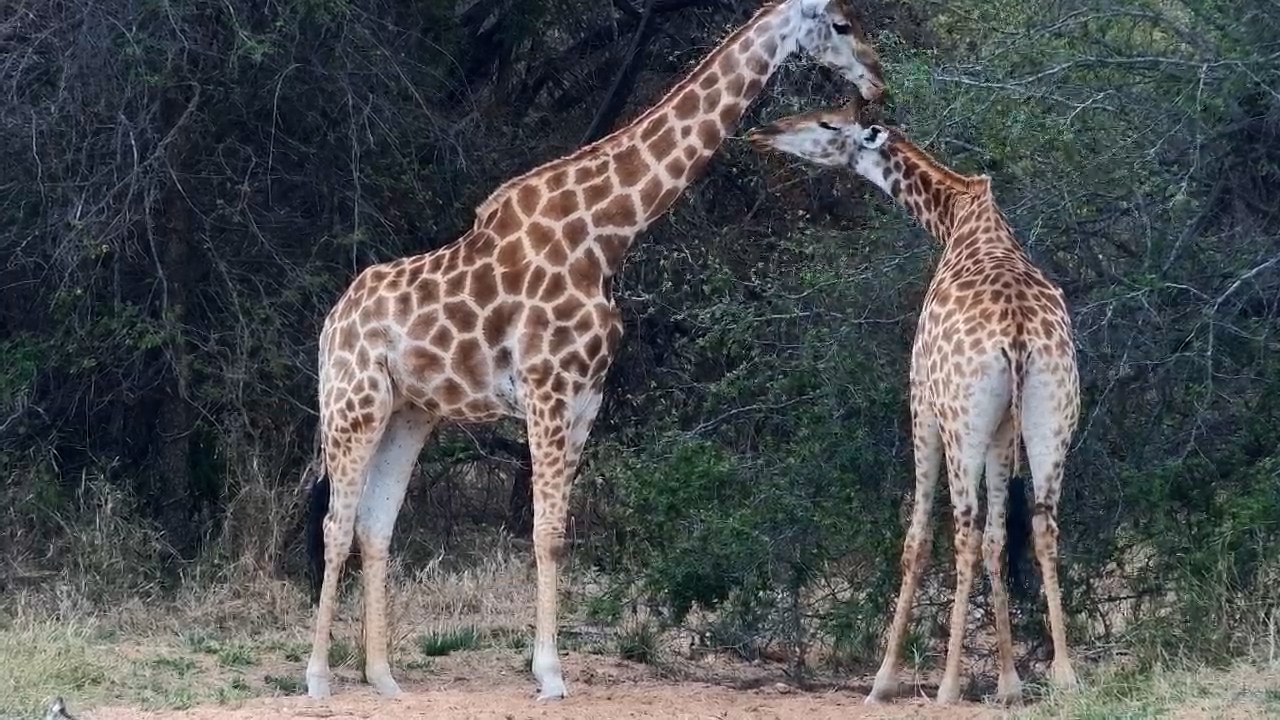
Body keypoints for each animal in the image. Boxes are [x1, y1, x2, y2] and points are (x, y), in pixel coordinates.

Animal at [304, 0, 887, 702]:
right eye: (841, 25)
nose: (877, 80)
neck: (606, 232)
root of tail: (332, 322)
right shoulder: (548, 390)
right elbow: (543, 531)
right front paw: (551, 676)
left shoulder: (585, 401)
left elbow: (558, 534)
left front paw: (547, 669)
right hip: (352, 403)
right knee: (336, 525)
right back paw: (318, 678)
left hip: (408, 413)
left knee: (375, 526)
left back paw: (384, 679)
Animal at [747, 102, 1080, 705]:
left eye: (829, 123)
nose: (764, 132)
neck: (958, 218)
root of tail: (1018, 333)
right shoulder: (1003, 430)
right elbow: (999, 540)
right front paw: (1009, 682)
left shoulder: (921, 403)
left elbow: (918, 538)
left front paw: (883, 680)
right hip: (1051, 416)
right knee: (1041, 525)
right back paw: (1064, 675)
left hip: (960, 423)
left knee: (963, 529)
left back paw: (947, 685)